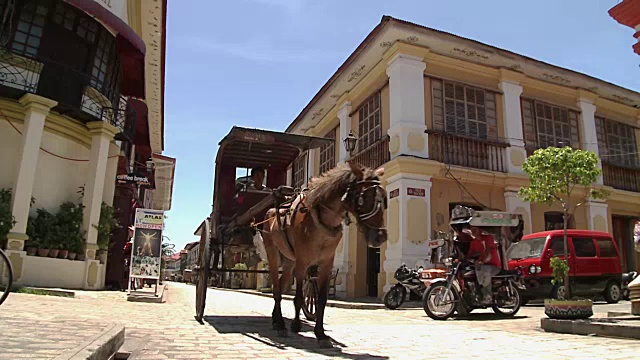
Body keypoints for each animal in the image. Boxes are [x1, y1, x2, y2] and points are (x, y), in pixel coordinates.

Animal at [258, 162, 384, 348]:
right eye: (365, 197)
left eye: (384, 199)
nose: (380, 236)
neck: (321, 221)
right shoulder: (302, 262)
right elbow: (299, 297)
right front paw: (296, 325)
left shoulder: (326, 264)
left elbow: (321, 299)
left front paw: (321, 333)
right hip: (273, 252)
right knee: (276, 287)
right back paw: (280, 324)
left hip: (289, 261)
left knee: (281, 284)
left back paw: (275, 319)